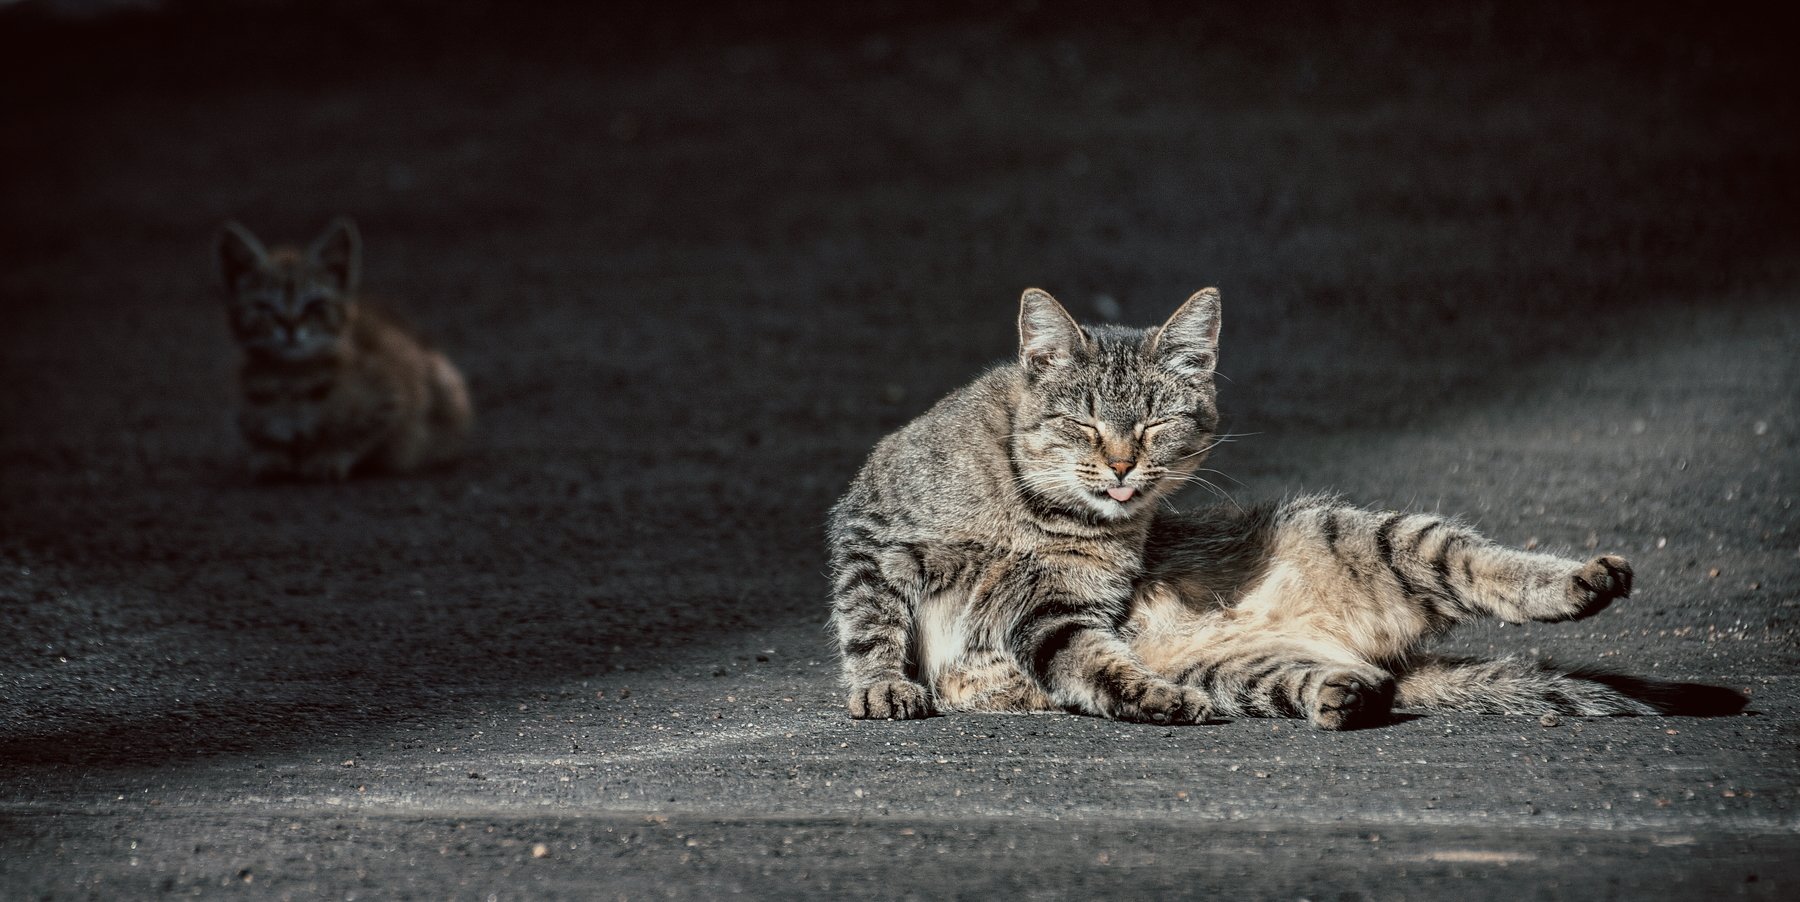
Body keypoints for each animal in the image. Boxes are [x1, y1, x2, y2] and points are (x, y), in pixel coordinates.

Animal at [218, 216, 475, 478]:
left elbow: (356, 434)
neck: (291, 381)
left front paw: (328, 456)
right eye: (264, 307)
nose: (290, 328)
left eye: (314, 305)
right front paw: (270, 456)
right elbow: (262, 438)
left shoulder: (393, 397)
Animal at [828, 291, 1728, 727]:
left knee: (1487, 567)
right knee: (1351, 685)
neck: (1032, 503)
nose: (1120, 466)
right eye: (1084, 421)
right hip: (1248, 668)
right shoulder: (871, 535)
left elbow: (1090, 658)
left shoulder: (1060, 609)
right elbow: (871, 621)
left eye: (1154, 425)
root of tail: (1370, 652)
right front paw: (883, 686)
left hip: (1389, 536)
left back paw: (1584, 581)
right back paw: (1342, 695)